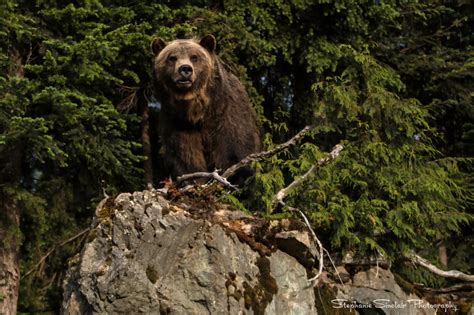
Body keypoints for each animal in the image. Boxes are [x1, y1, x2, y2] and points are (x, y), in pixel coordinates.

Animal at [152, 34, 262, 181]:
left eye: (194, 57)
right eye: (172, 58)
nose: (185, 69)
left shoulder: (227, 112)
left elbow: (235, 148)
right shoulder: (177, 122)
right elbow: (186, 155)